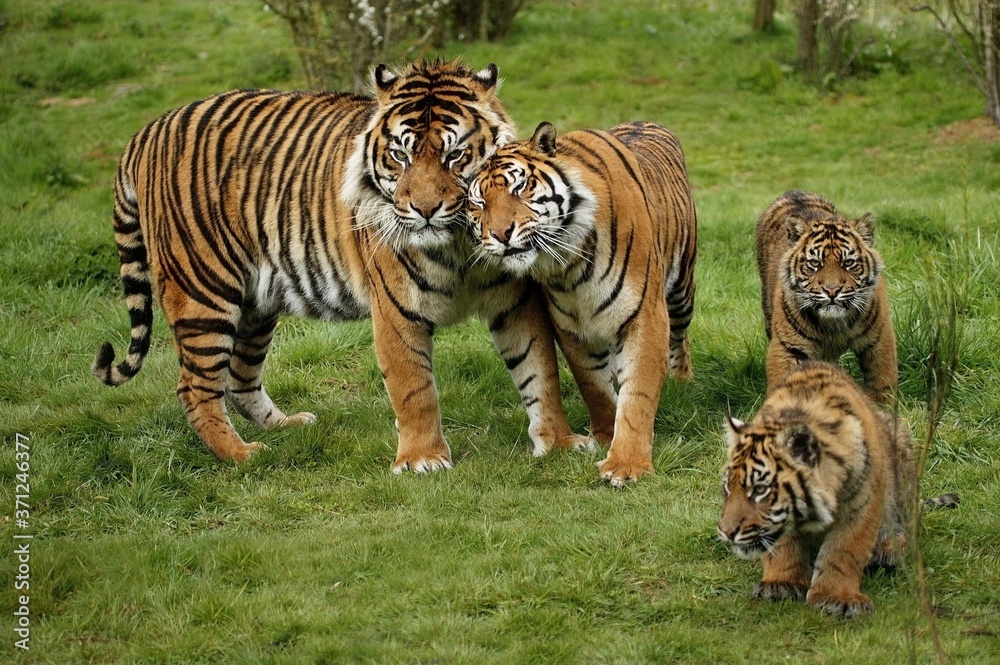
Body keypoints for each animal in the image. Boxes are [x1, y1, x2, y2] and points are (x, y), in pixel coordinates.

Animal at [92, 60, 591, 469]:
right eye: (400, 155)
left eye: (455, 155)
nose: (425, 210)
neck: (459, 243)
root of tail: (147, 130)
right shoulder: (395, 312)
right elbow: (413, 389)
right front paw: (422, 459)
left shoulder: (516, 301)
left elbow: (540, 371)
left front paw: (559, 441)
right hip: (204, 292)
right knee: (195, 387)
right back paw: (240, 454)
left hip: (256, 303)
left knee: (239, 376)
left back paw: (286, 426)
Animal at [465, 120, 698, 486]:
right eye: (478, 203)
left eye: (520, 187)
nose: (500, 234)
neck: (568, 266)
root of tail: (646, 122)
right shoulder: (570, 326)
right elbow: (594, 386)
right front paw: (604, 435)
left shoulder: (644, 316)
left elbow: (638, 395)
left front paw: (626, 464)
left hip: (681, 291)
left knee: (680, 337)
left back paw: (683, 379)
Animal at [718, 361, 915, 617]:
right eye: (727, 488)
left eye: (760, 489)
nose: (726, 533)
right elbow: (783, 545)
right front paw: (780, 584)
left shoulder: (864, 503)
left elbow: (844, 551)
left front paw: (837, 597)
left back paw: (886, 552)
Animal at [756, 190, 897, 404]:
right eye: (815, 263)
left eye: (848, 263)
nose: (832, 290)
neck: (833, 326)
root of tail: (793, 192)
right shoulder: (788, 348)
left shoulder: (879, 340)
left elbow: (881, 384)